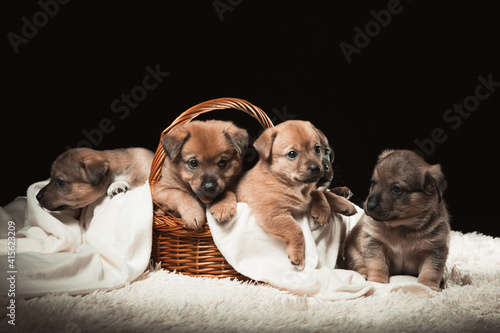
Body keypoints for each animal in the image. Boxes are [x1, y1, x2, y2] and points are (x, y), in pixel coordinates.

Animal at [236, 119, 326, 270]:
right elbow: (296, 230)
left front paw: (323, 211)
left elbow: (318, 192)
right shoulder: (273, 214)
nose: (316, 168)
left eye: (317, 149)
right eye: (292, 154)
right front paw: (298, 257)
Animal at [344, 148, 450, 290]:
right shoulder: (374, 242)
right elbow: (377, 265)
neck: (401, 227)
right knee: (358, 266)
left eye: (396, 188)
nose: (369, 205)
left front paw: (428, 287)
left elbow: (431, 272)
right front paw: (377, 282)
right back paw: (364, 273)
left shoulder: (435, 250)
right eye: (373, 182)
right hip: (354, 253)